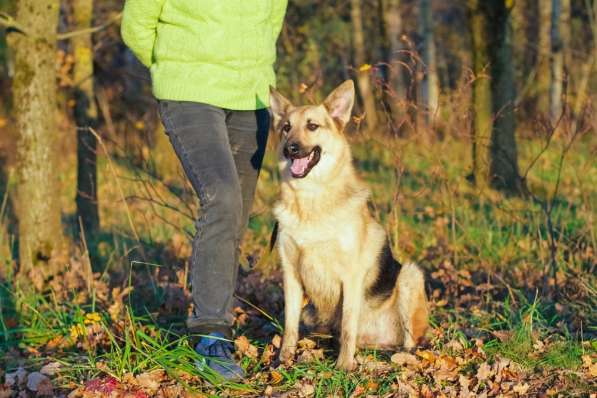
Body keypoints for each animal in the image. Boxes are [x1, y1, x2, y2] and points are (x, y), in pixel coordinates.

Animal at [268, 80, 428, 370]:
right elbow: (289, 326)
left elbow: (347, 325)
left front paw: (343, 365)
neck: (311, 200)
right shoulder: (291, 275)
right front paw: (283, 359)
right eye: (286, 127)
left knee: (411, 341)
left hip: (410, 275)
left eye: (312, 126)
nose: (290, 149)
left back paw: (401, 357)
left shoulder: (351, 277)